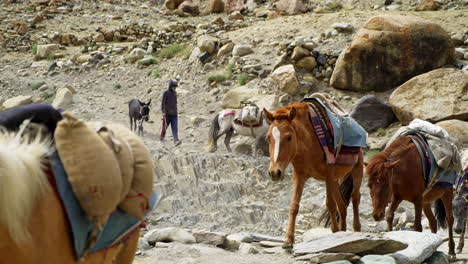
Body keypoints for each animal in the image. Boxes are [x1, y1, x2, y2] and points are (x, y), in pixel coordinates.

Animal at [266, 102, 364, 249]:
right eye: (268, 138)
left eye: (289, 137)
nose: (274, 173)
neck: (308, 144)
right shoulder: (299, 176)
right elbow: (294, 206)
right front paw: (288, 240)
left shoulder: (328, 174)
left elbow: (330, 204)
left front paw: (334, 230)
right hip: (335, 180)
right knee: (342, 205)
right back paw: (343, 231)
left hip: (357, 170)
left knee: (355, 198)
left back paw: (356, 229)